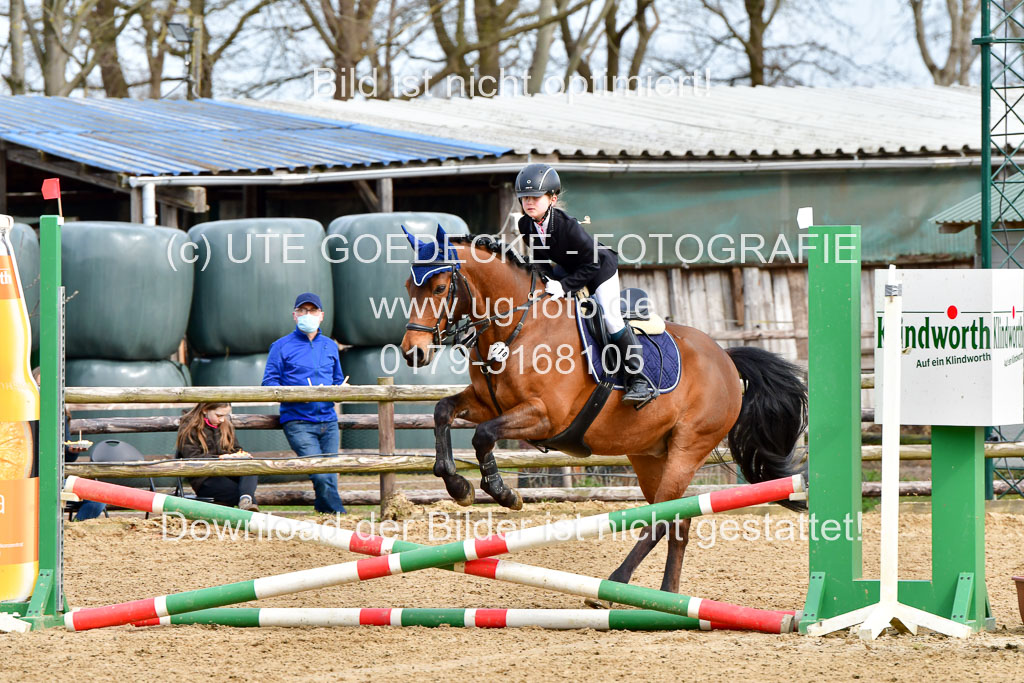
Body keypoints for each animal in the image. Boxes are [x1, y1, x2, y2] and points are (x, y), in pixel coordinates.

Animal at [399, 228, 806, 598]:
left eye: (439, 288)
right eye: (408, 286)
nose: (412, 353)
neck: (519, 327)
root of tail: (726, 358)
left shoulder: (545, 417)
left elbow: (483, 434)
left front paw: (502, 492)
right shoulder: (486, 402)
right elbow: (442, 411)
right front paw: (459, 486)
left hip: (688, 449)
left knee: (660, 520)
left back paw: (615, 584)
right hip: (649, 456)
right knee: (677, 521)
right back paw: (668, 599)